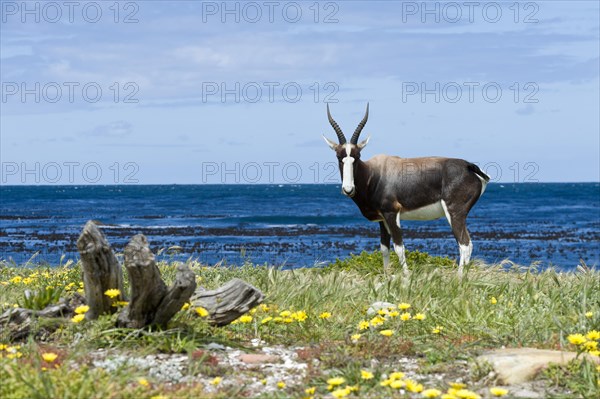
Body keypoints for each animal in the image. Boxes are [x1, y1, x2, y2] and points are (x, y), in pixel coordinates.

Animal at [326, 104, 490, 276]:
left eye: (357, 157)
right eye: (339, 157)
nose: (348, 189)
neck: (374, 173)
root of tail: (468, 166)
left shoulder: (392, 213)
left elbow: (399, 247)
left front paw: (406, 276)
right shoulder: (382, 219)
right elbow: (384, 249)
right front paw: (387, 276)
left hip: (454, 213)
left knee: (464, 244)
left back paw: (459, 277)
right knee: (468, 244)